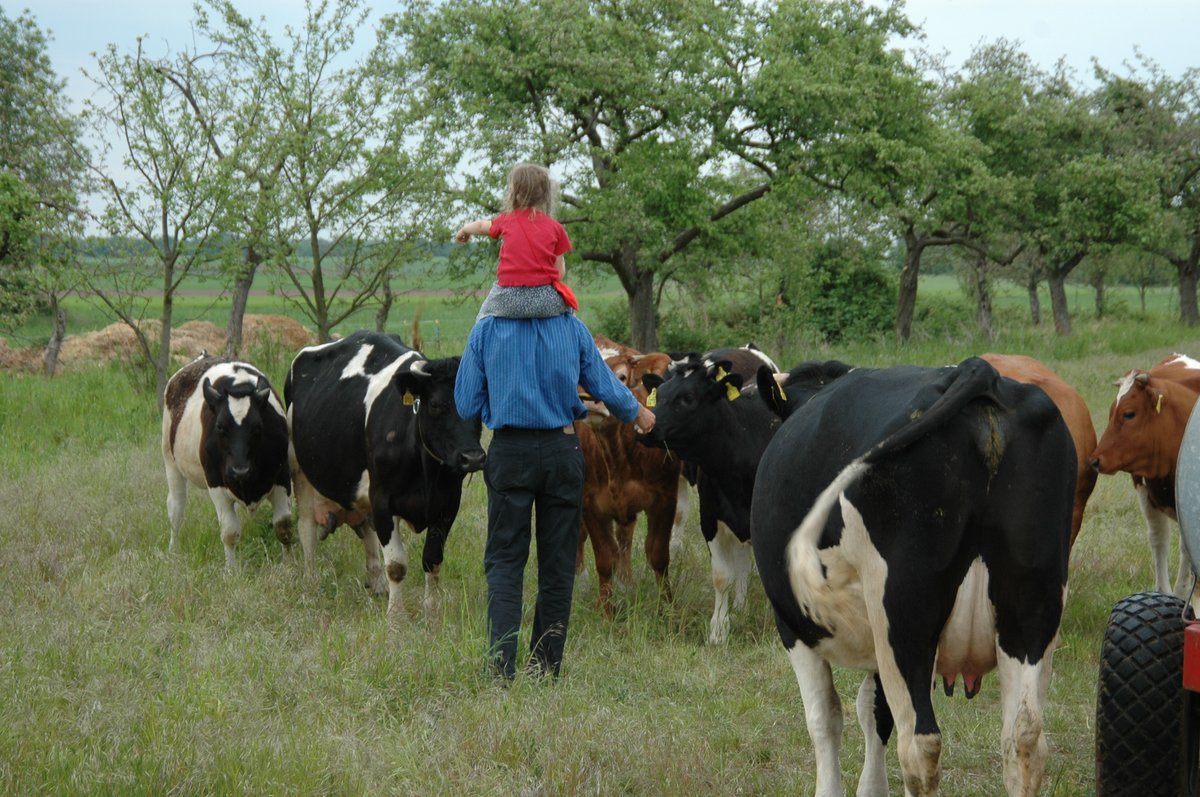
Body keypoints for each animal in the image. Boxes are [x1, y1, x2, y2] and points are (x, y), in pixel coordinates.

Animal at [162, 355, 292, 566]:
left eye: (257, 427)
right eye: (220, 427)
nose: (240, 471)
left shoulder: (282, 476)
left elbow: (283, 527)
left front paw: (290, 566)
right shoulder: (216, 485)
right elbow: (230, 533)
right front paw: (231, 570)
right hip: (170, 462)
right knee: (176, 509)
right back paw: (173, 551)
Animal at [283, 328, 484, 614]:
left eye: (480, 405)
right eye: (435, 404)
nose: (473, 458)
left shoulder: (447, 504)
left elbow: (432, 559)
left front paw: (431, 613)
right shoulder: (384, 501)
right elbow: (397, 565)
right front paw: (396, 617)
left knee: (367, 532)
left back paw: (377, 584)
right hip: (299, 470)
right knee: (307, 528)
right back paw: (311, 584)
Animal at [748, 360, 1070, 797]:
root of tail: (976, 369)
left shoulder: (795, 628)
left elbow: (825, 718)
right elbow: (873, 711)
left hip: (903, 613)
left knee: (920, 743)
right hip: (1033, 601)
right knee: (1024, 736)